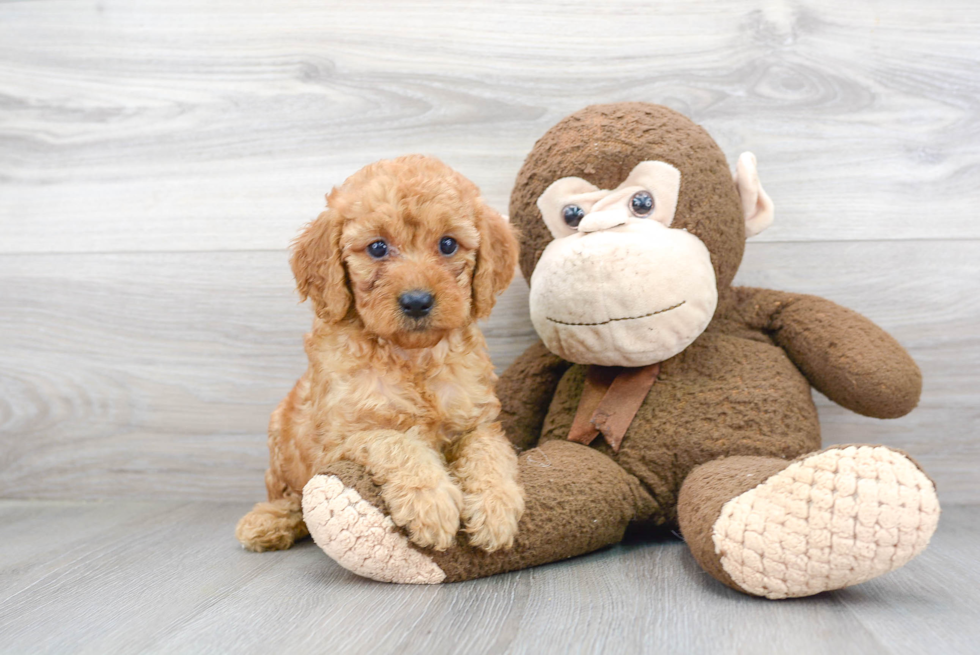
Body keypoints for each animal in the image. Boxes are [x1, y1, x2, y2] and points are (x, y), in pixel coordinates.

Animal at [236, 156, 524, 556]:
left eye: (448, 244)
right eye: (377, 248)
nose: (417, 301)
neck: (411, 356)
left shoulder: (476, 421)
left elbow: (489, 452)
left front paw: (496, 506)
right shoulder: (344, 437)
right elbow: (396, 442)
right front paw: (429, 502)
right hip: (281, 436)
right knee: (290, 497)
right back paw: (268, 522)